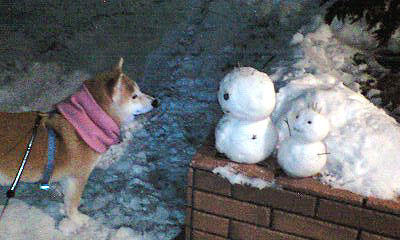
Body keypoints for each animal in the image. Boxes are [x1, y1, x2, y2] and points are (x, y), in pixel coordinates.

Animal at [0, 57, 159, 232]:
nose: (156, 101)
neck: (88, 120)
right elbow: (73, 202)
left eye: (138, 92)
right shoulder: (78, 176)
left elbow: (67, 199)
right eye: (134, 96)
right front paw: (76, 219)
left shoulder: (66, 177)